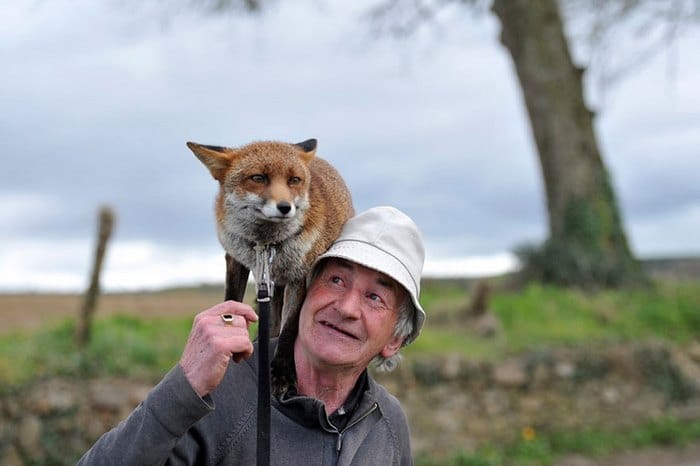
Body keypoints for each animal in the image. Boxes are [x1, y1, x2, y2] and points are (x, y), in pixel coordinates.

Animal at [186, 137, 352, 336]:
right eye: (258, 178)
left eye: (294, 180)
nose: (285, 207)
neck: (266, 243)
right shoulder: (237, 260)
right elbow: (232, 301)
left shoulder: (300, 276)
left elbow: (287, 331)